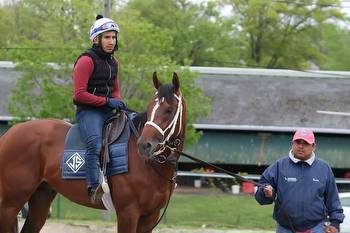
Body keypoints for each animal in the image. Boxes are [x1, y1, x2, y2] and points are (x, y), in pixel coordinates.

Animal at [0, 72, 186, 232]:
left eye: (169, 110)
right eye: (149, 108)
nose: (144, 145)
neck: (149, 167)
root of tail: (10, 133)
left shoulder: (150, 216)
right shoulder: (128, 213)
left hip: (41, 197)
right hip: (10, 204)